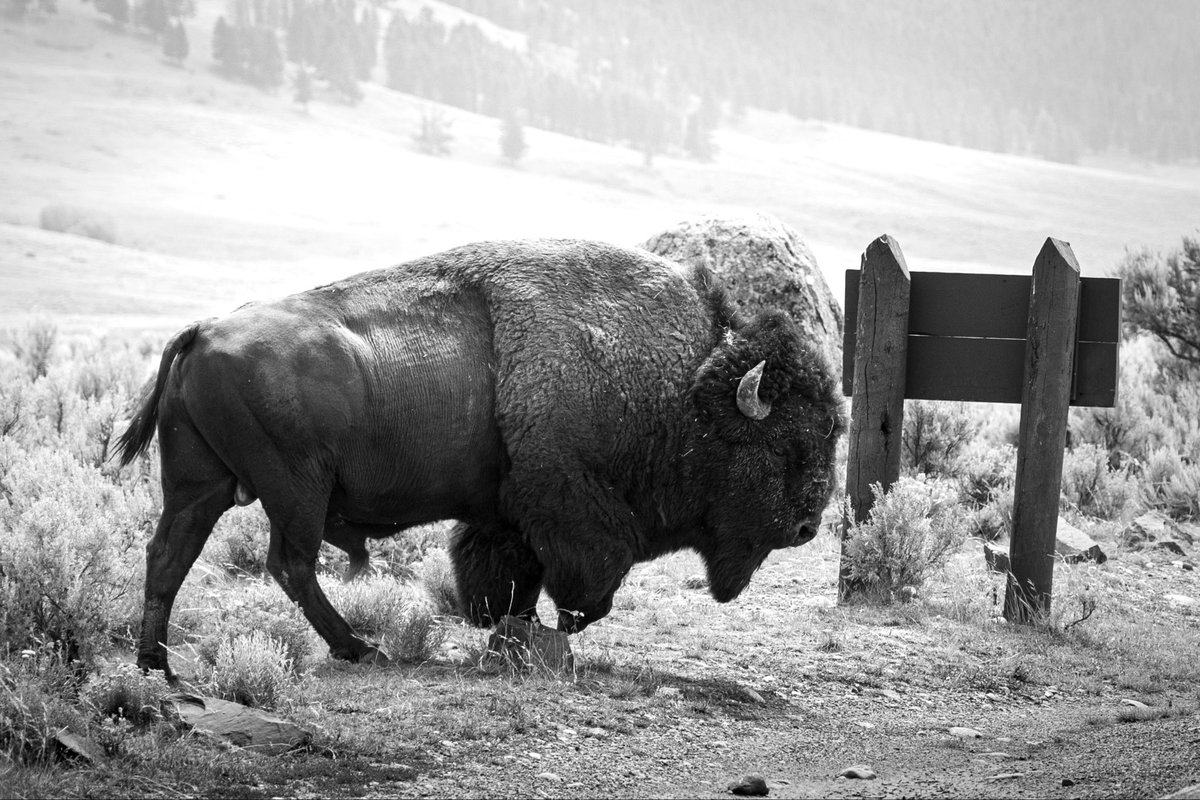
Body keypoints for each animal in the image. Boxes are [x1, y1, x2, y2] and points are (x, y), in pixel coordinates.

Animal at [115, 239, 844, 677]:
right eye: (785, 443)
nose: (807, 525)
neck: (684, 383)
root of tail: (203, 330)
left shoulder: (505, 518)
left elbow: (503, 577)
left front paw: (510, 632)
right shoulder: (571, 507)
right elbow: (589, 582)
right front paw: (558, 629)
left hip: (201, 484)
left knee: (170, 556)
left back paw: (157, 663)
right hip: (294, 489)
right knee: (289, 563)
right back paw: (360, 648)